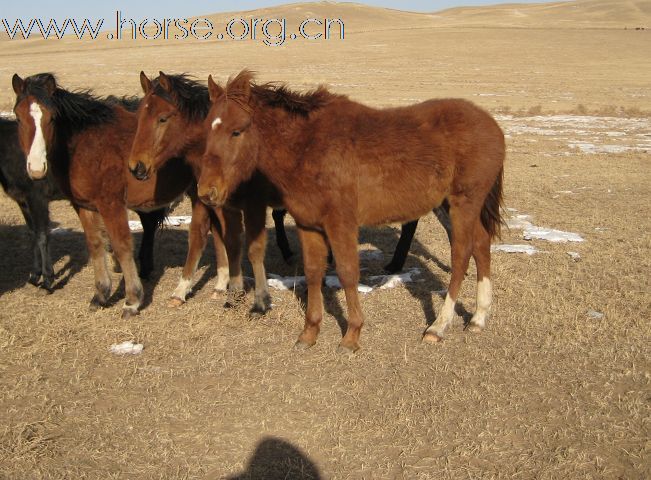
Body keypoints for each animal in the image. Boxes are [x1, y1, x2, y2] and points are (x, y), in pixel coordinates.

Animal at [10, 73, 230, 316]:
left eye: (51, 118)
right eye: (18, 118)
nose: (36, 168)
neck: (86, 146)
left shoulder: (111, 204)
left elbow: (122, 245)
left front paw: (132, 300)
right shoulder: (84, 206)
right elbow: (95, 245)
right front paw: (101, 294)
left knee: (201, 233)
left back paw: (183, 290)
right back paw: (220, 284)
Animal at [201, 71, 506, 354]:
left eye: (236, 131)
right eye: (207, 128)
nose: (206, 192)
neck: (307, 147)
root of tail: (491, 124)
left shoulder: (341, 223)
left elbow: (348, 273)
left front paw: (352, 336)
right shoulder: (308, 225)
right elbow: (313, 272)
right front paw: (309, 333)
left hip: (463, 204)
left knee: (461, 256)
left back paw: (438, 326)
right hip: (449, 205)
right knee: (481, 245)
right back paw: (478, 317)